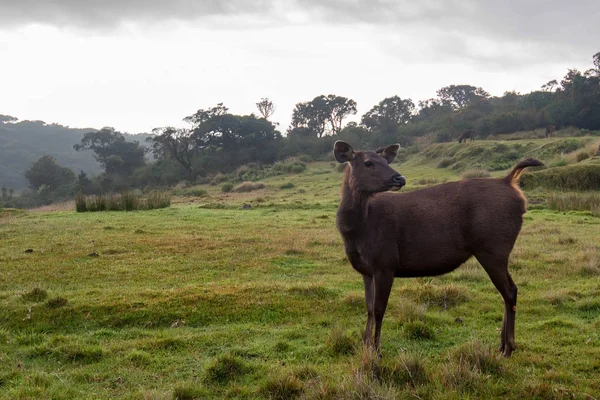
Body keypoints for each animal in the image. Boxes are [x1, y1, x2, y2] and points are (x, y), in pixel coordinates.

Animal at [332, 141, 544, 360]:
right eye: (368, 162)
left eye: (385, 160)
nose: (399, 178)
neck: (359, 230)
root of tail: (510, 182)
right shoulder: (366, 270)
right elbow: (368, 308)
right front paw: (365, 346)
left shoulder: (385, 262)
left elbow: (379, 309)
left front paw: (376, 351)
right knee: (506, 293)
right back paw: (502, 346)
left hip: (493, 247)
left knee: (510, 291)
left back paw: (508, 348)